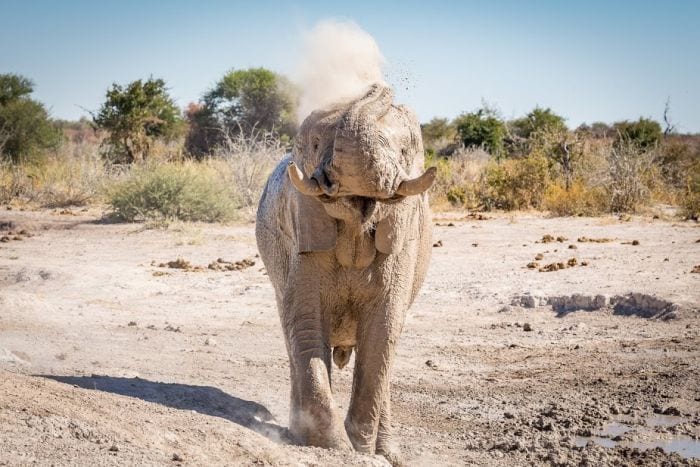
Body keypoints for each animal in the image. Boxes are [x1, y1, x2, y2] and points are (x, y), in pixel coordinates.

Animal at [254, 83, 434, 464]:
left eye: (403, 150)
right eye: (315, 145)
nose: (377, 87)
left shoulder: (401, 237)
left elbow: (382, 331)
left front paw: (361, 449)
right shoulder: (301, 226)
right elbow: (306, 323)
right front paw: (335, 447)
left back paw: (389, 453)